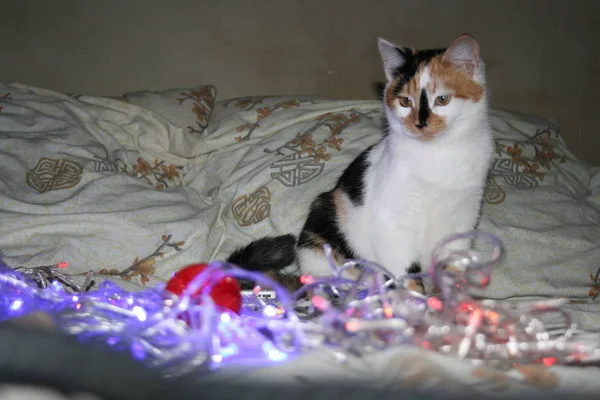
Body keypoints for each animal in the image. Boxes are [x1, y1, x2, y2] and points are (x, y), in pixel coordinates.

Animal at [225, 34, 492, 292]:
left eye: (443, 99)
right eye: (405, 101)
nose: (420, 124)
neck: (438, 154)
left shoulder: (464, 216)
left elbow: (453, 266)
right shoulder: (393, 224)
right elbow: (407, 273)